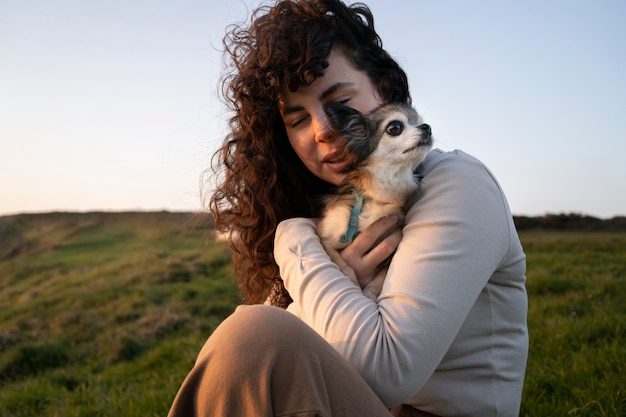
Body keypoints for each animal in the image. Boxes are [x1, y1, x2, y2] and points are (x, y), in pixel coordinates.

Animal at [316, 102, 428, 300]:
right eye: (395, 128)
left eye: (420, 122)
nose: (427, 127)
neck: (379, 197)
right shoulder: (326, 237)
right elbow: (344, 267)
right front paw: (355, 285)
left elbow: (381, 278)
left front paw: (368, 294)